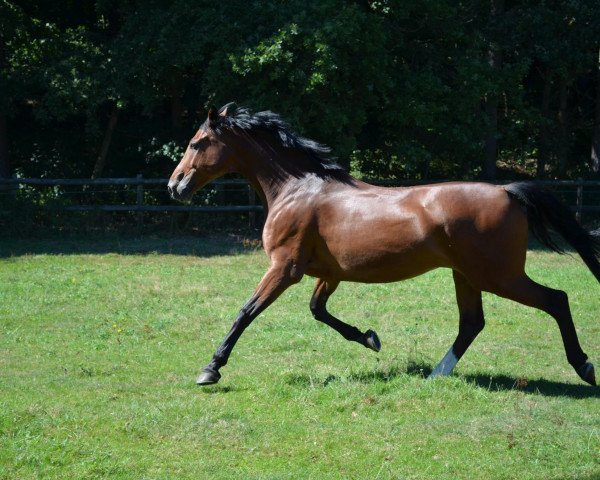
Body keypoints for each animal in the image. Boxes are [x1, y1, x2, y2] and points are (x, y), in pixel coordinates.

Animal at [166, 104, 596, 386]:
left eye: (196, 143)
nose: (175, 185)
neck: (296, 190)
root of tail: (508, 191)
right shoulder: (329, 274)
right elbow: (319, 311)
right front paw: (371, 339)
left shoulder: (284, 268)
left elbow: (246, 312)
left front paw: (210, 369)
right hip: (467, 275)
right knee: (472, 323)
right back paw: (436, 375)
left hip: (498, 275)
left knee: (556, 299)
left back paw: (584, 367)